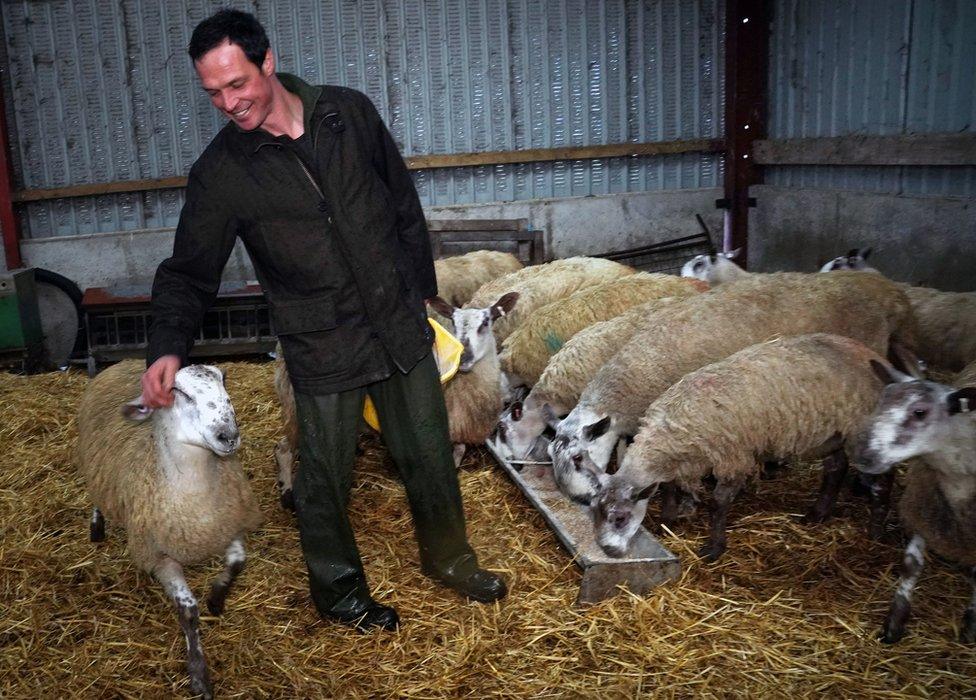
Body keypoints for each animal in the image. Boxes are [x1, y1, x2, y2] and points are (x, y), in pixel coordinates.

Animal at [78, 358, 264, 696]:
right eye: (180, 392)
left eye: (224, 382)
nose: (228, 436)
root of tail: (122, 361)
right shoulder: (158, 557)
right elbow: (188, 611)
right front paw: (199, 675)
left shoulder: (229, 526)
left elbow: (237, 564)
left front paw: (216, 598)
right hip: (94, 465)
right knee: (97, 496)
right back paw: (97, 528)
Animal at [588, 334, 892, 564]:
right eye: (596, 513)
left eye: (620, 517)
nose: (609, 551)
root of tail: (874, 356)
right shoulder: (687, 459)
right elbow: (671, 486)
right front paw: (668, 519)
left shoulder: (732, 457)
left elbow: (718, 502)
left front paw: (714, 547)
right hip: (833, 435)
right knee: (835, 468)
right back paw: (819, 513)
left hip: (861, 432)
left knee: (882, 482)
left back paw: (876, 531)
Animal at [856, 358, 976, 644]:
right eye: (882, 400)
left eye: (920, 412)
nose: (862, 454)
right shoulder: (922, 514)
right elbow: (910, 565)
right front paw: (893, 624)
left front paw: (970, 627)